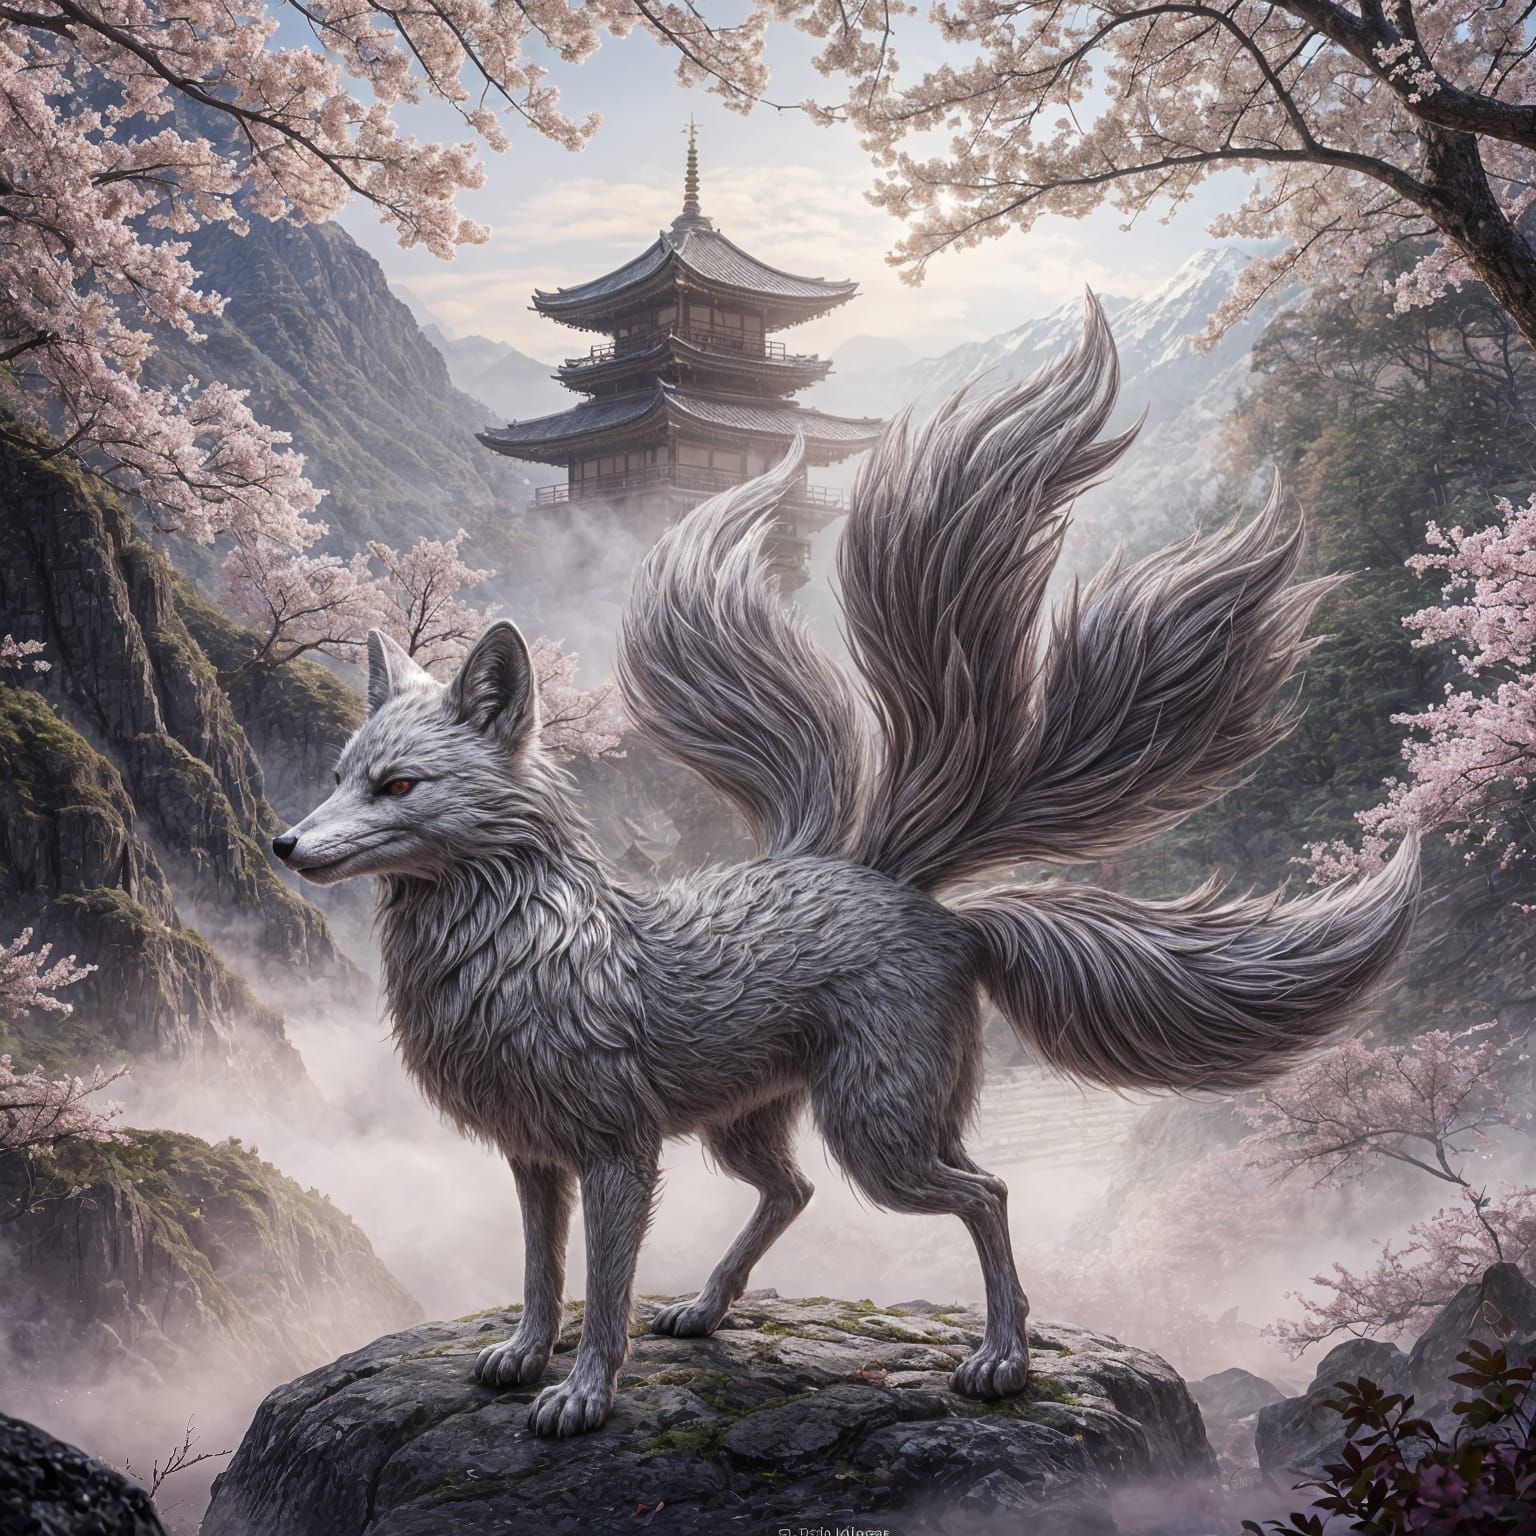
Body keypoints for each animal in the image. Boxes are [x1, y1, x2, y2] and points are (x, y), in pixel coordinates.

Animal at [273, 299, 1419, 1439]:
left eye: (399, 787)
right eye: (337, 776)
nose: (285, 846)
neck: (522, 949)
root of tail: (912, 891)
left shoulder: (615, 1151)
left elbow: (601, 1288)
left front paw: (586, 1392)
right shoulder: (532, 1153)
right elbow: (539, 1273)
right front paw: (520, 1355)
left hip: (876, 1128)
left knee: (983, 1193)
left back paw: (1001, 1359)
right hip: (749, 1123)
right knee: (796, 1193)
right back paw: (707, 1307)